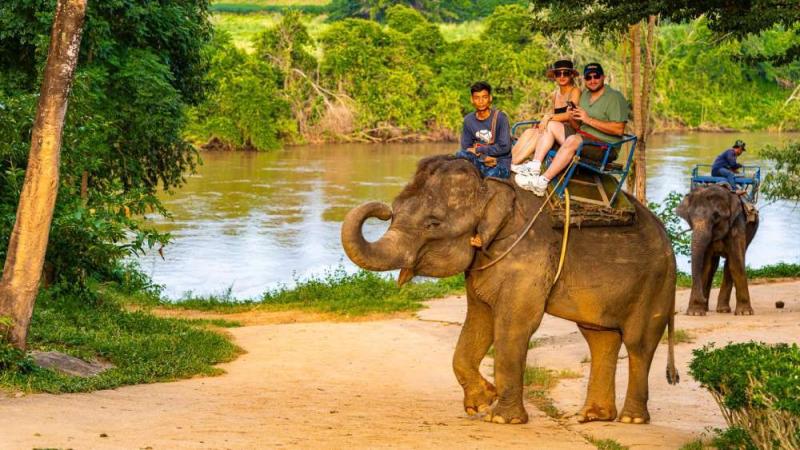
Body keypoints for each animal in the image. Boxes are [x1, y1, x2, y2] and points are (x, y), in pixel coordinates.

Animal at [341, 155, 679, 426]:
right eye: (396, 209)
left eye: (433, 223)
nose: (382, 210)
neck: (489, 185)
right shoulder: (484, 263)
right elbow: (479, 321)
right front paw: (481, 403)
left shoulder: (527, 258)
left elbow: (513, 326)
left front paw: (502, 419)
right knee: (600, 337)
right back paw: (593, 416)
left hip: (656, 281)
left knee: (637, 344)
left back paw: (631, 419)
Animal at [677, 184, 759, 316]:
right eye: (690, 217)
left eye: (716, 216)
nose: (702, 298)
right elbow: (705, 266)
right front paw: (695, 313)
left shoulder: (737, 224)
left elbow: (736, 262)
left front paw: (745, 313)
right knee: (713, 267)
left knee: (730, 263)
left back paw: (723, 310)